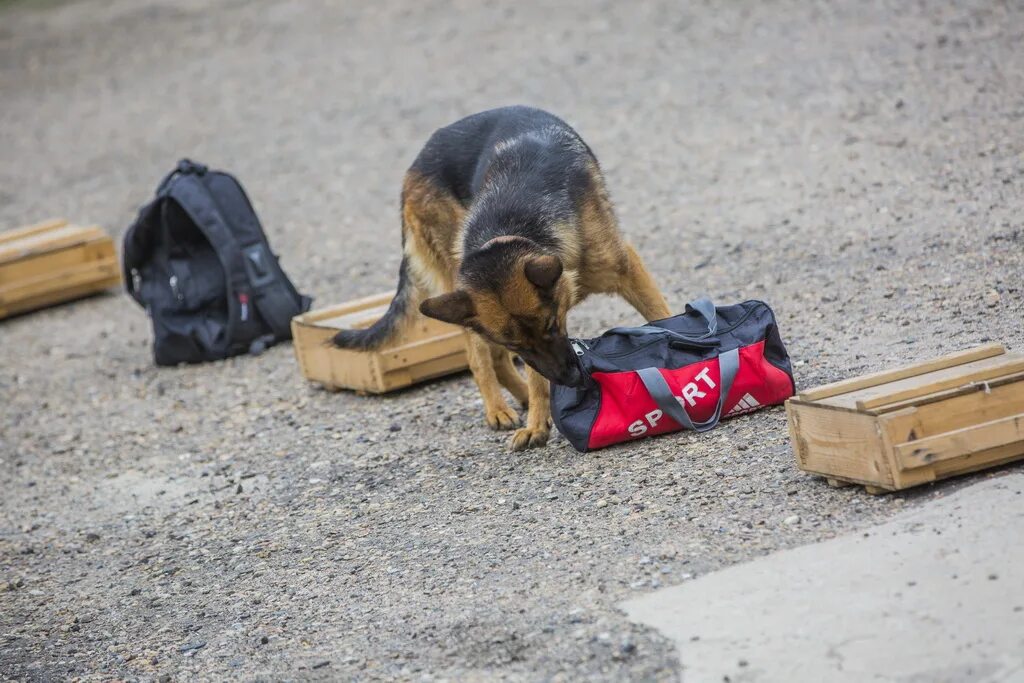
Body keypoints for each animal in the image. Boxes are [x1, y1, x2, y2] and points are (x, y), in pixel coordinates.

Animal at [333, 105, 671, 448]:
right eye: (518, 345)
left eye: (552, 326)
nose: (571, 379)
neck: (512, 226)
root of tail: (415, 166)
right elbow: (533, 373)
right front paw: (538, 420)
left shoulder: (627, 269)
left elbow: (659, 314)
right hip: (456, 294)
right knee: (480, 357)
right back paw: (500, 408)